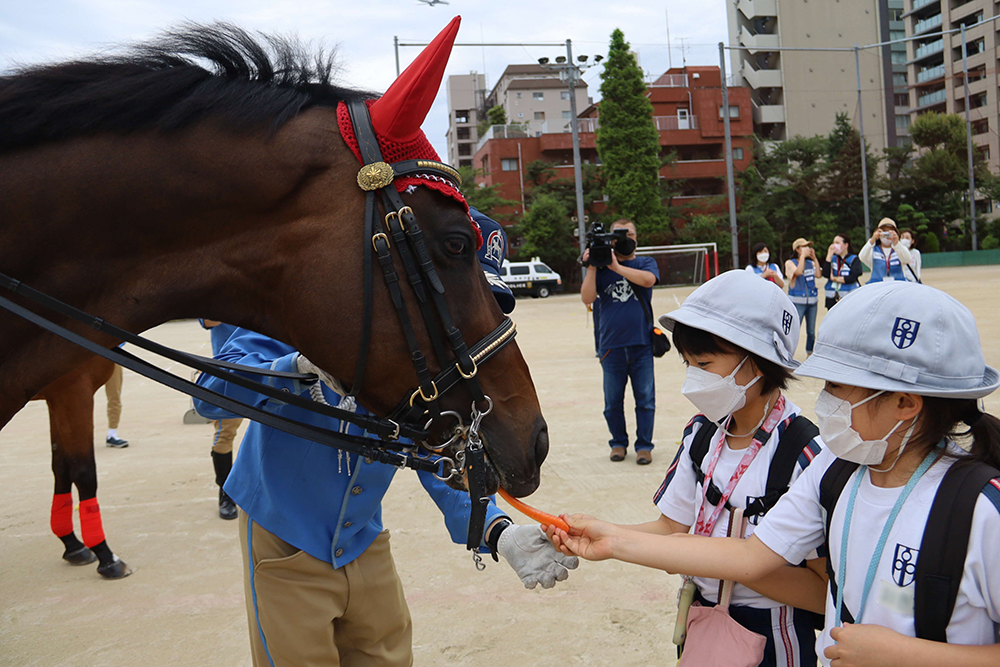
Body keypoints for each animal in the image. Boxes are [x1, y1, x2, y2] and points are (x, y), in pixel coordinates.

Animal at [30, 358, 131, 576]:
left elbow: (61, 467)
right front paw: (106, 556)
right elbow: (83, 472)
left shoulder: (56, 398)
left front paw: (71, 543)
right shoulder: (73, 391)